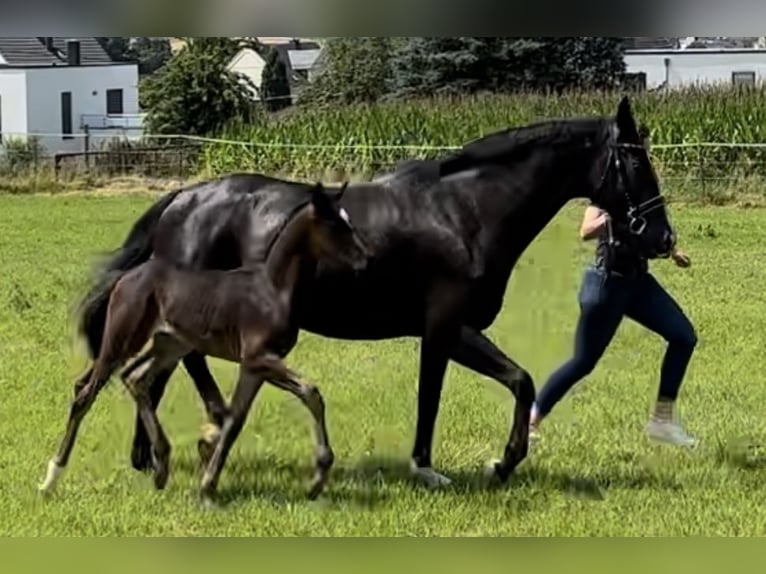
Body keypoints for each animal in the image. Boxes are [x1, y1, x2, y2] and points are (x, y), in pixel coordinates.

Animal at [40, 184, 370, 504]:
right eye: (334, 224)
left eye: (349, 221)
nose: (364, 259)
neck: (272, 290)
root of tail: (127, 276)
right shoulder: (257, 358)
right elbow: (306, 394)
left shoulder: (257, 366)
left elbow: (241, 417)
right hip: (121, 341)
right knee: (87, 391)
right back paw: (50, 479)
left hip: (169, 345)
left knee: (135, 378)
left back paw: (161, 466)